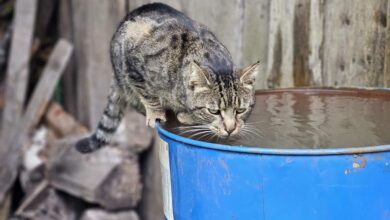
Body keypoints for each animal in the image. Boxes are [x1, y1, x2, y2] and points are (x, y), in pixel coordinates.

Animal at [75, 2, 258, 153]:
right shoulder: (134, 63)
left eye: (240, 110)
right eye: (214, 111)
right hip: (122, 71)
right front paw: (158, 113)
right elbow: (148, 94)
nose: (230, 129)